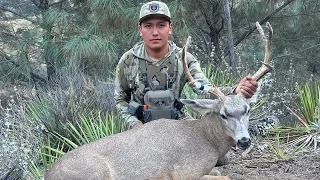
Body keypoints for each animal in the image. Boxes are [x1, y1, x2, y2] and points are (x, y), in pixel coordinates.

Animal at [45, 22, 274, 180]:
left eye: (247, 109)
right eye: (224, 114)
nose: (244, 141)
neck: (206, 138)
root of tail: (48, 174)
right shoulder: (185, 173)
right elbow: (223, 175)